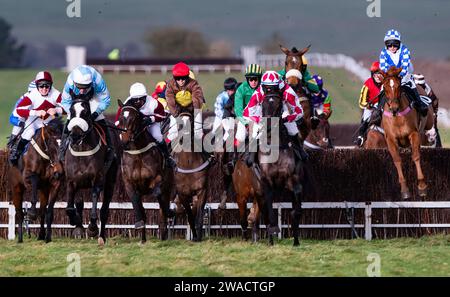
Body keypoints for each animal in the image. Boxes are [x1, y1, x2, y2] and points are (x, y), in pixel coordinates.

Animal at [64, 97, 121, 245]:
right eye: (71, 111)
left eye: (86, 112)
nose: (75, 136)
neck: (82, 150)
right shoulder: (71, 181)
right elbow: (70, 208)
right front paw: (76, 223)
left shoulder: (97, 179)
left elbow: (95, 201)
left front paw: (92, 228)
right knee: (79, 202)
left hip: (111, 180)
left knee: (105, 209)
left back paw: (101, 236)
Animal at [117, 98, 175, 242]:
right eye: (121, 118)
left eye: (134, 118)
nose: (125, 141)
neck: (138, 152)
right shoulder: (129, 184)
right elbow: (136, 203)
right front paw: (139, 223)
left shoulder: (158, 179)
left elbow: (158, 191)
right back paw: (143, 239)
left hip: (168, 186)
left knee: (163, 207)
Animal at [171, 108, 212, 240]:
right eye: (179, 124)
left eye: (191, 122)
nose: (185, 138)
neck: (188, 162)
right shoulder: (182, 194)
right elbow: (189, 215)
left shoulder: (202, 190)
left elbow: (198, 213)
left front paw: (197, 237)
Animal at [256, 92, 306, 245]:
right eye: (263, 104)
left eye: (279, 106)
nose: (267, 125)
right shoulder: (267, 183)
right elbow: (270, 211)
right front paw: (273, 230)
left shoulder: (292, 179)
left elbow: (296, 208)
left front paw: (296, 240)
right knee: (265, 212)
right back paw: (270, 240)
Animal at [382, 66, 428, 198]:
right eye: (385, 87)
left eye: (398, 86)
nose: (394, 108)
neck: (397, 117)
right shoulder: (390, 139)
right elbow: (397, 159)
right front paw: (404, 189)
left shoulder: (414, 134)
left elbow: (416, 156)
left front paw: (422, 186)